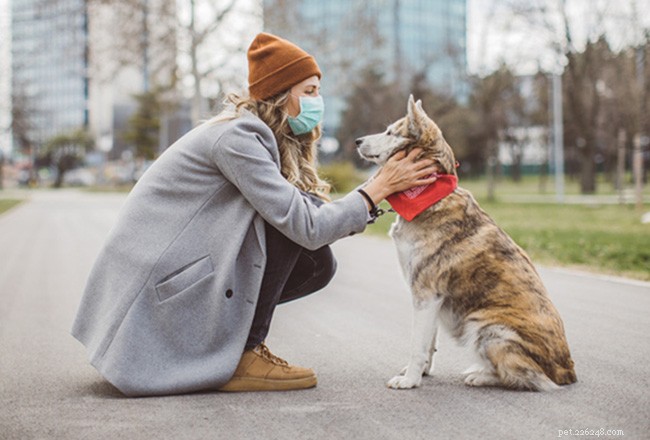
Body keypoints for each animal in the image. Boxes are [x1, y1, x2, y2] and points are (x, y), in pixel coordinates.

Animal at [356, 96, 576, 392]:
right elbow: (429, 344)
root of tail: (568, 374)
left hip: (487, 328)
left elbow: (417, 345)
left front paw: (410, 380)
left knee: (525, 377)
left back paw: (480, 376)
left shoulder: (426, 294)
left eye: (391, 132)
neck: (429, 195)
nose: (357, 140)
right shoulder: (432, 300)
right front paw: (422, 373)